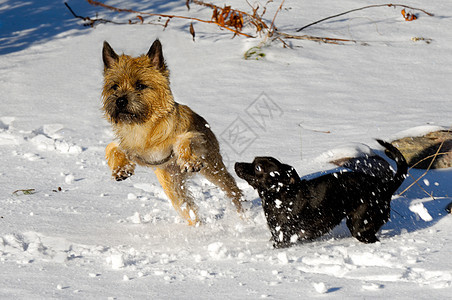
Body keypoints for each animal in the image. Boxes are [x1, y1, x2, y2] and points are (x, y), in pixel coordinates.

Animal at [101, 38, 244, 224]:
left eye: (140, 85)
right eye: (114, 86)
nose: (120, 101)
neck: (143, 127)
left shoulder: (194, 137)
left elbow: (184, 140)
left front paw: (189, 161)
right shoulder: (135, 150)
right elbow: (111, 148)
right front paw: (121, 169)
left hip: (213, 167)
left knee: (232, 189)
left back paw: (244, 216)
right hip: (171, 184)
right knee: (187, 207)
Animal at [235, 139, 408, 247]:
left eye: (258, 167)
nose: (237, 163)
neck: (280, 196)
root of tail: (385, 186)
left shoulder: (282, 238)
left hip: (359, 225)